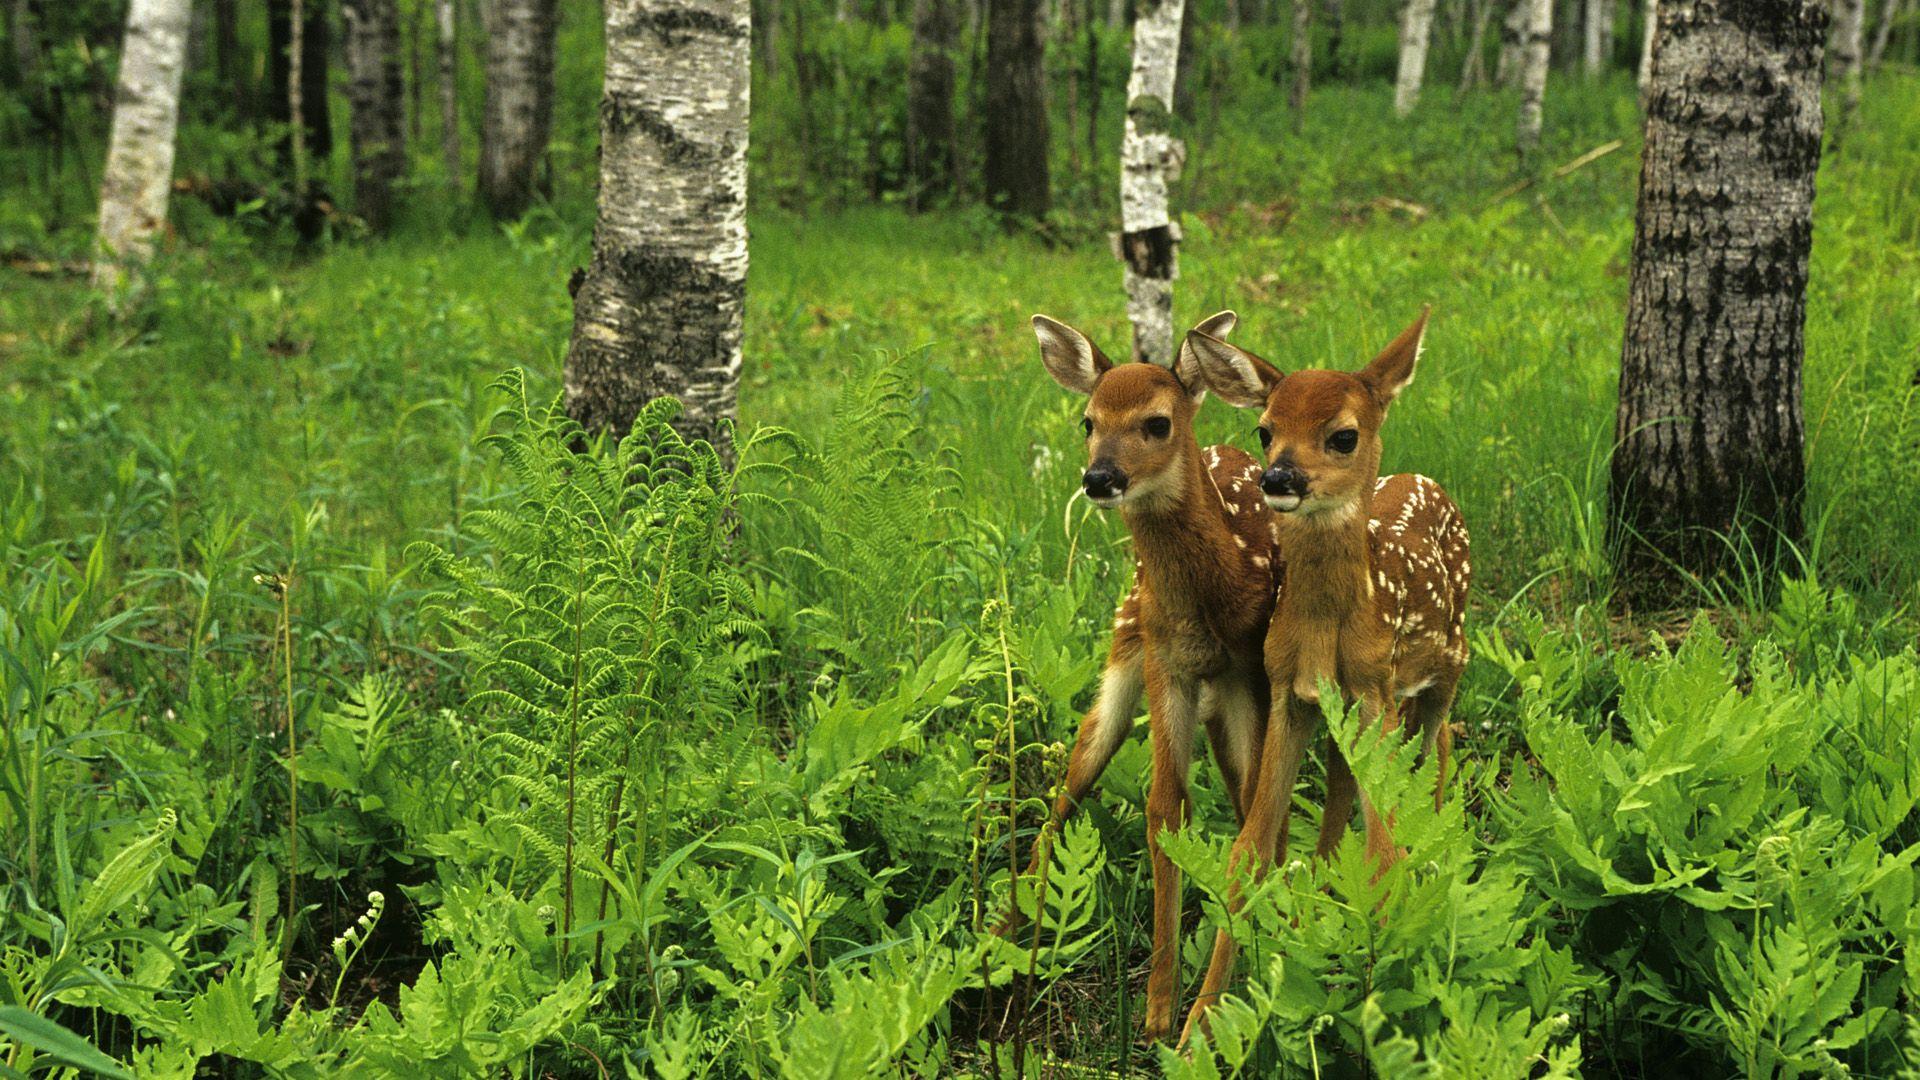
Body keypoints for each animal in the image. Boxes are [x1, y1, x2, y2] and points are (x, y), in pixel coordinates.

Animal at [1172, 307, 1472, 1045]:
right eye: (1264, 428)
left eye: (1342, 435)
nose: (1278, 478)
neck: (1328, 630)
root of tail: (1427, 481)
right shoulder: (1291, 695)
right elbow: (1250, 850)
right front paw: (1197, 1027)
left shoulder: (1374, 688)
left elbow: (1387, 851)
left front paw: (1387, 1005)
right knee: (1346, 795)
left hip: (1447, 665)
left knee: (1440, 745)